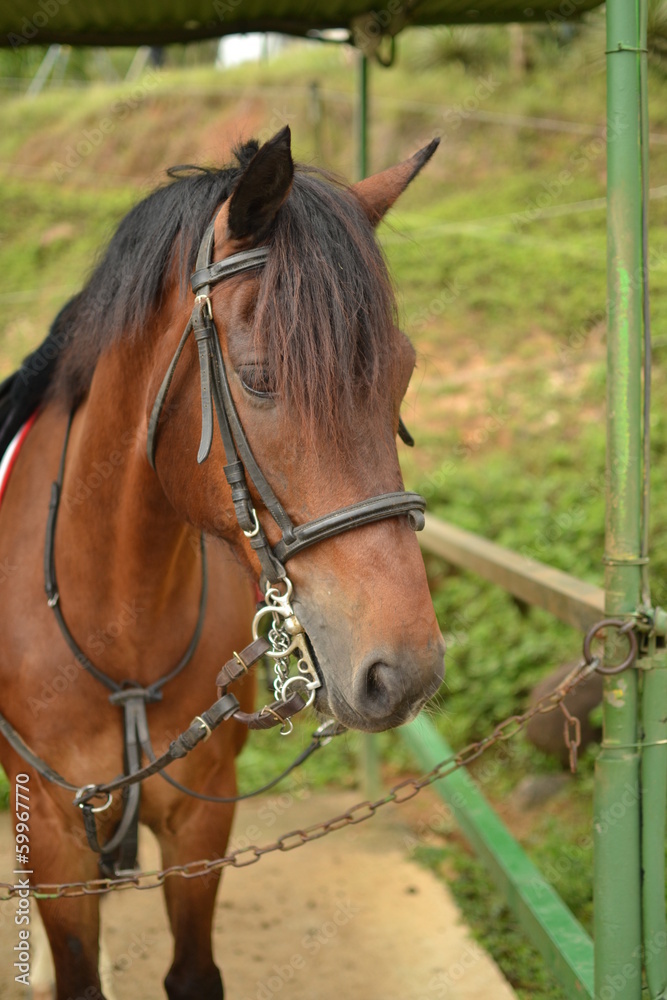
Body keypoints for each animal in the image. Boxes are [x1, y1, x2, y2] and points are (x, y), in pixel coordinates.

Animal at [0, 126, 445, 1000]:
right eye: (259, 376)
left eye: (401, 372)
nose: (404, 671)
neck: (117, 623)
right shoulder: (59, 828)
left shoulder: (203, 816)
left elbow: (195, 972)